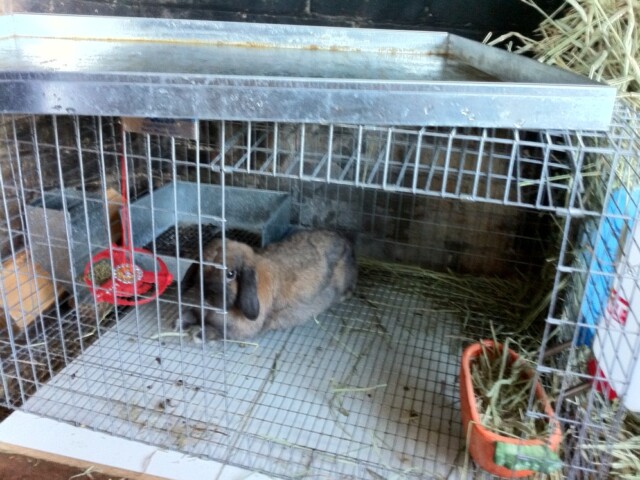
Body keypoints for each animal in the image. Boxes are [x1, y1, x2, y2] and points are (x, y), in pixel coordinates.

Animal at [172, 229, 358, 342]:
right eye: (201, 267)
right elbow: (192, 315)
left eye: (230, 274)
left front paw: (199, 334)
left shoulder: (238, 332)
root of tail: (346, 242)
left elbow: (218, 333)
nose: (205, 294)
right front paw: (180, 322)